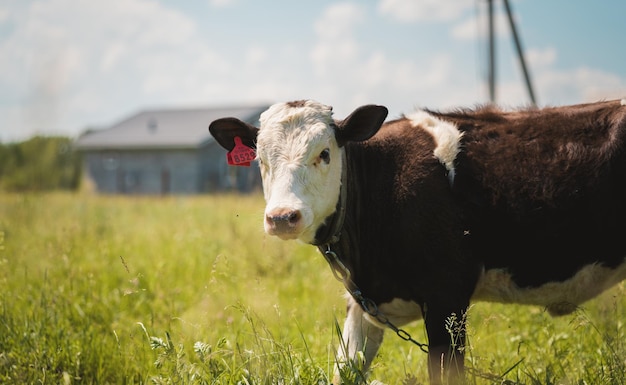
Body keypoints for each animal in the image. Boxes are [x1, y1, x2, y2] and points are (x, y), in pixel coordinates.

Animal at [207, 97, 624, 382]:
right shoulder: (363, 302)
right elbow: (346, 368)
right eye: (261, 160)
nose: (282, 217)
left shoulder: (447, 298)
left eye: (324, 153)